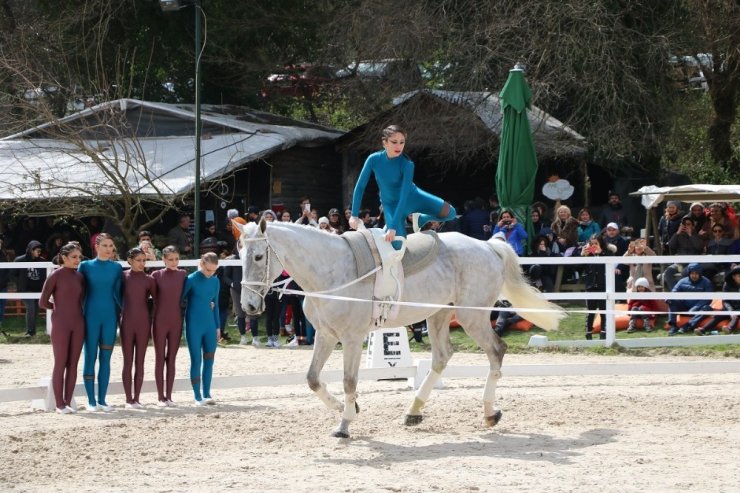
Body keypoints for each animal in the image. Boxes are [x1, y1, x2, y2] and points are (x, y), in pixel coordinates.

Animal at [234, 221, 564, 436]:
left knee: (496, 350)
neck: (331, 271)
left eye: (259, 257)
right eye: (240, 257)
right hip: (439, 315)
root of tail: (488, 245)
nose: (249, 306)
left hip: (472, 316)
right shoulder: (326, 336)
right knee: (442, 357)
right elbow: (313, 379)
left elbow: (349, 381)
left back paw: (489, 413)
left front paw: (344, 424)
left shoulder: (351, 339)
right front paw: (347, 409)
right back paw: (413, 411)